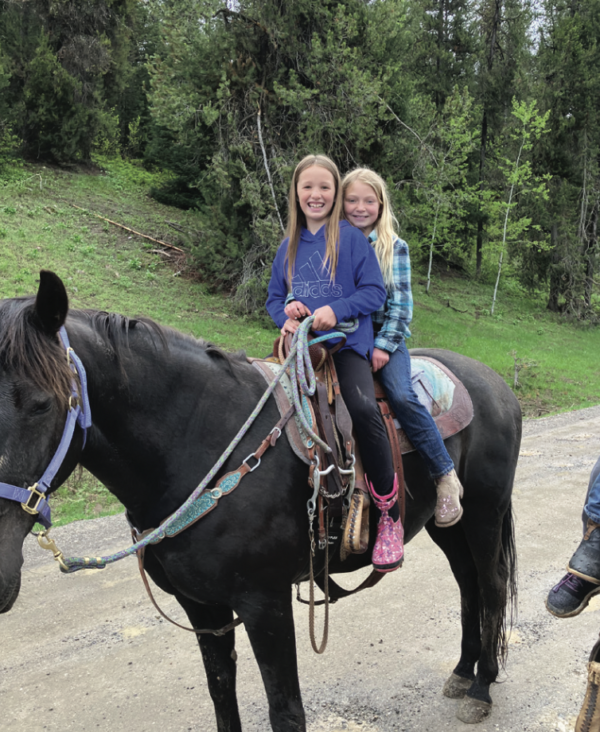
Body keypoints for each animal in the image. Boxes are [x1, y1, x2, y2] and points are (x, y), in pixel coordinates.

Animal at [0, 271, 521, 731]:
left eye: (42, 404)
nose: (1, 579)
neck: (199, 439)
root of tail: (496, 383)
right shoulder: (202, 607)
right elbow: (221, 696)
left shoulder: (264, 602)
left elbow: (286, 711)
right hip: (445, 524)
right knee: (467, 582)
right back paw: (463, 672)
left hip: (483, 515)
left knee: (492, 583)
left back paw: (482, 688)